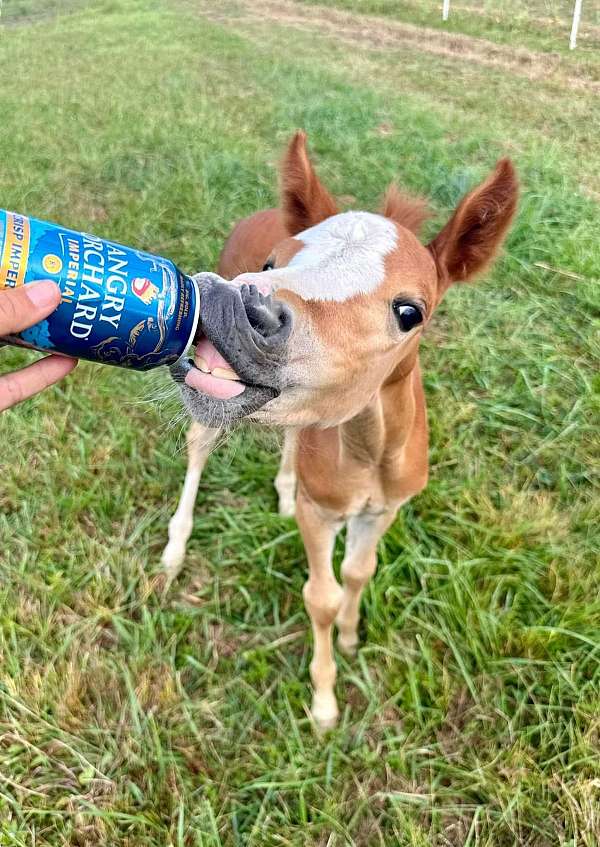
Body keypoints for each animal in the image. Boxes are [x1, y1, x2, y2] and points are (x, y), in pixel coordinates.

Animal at [162, 131, 516, 728]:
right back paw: (174, 550)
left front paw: (351, 639)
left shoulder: (384, 509)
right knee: (198, 444)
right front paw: (324, 702)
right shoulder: (322, 513)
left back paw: (284, 492)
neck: (370, 454)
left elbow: (358, 572)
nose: (233, 304)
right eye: (272, 262)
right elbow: (321, 596)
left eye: (410, 311)